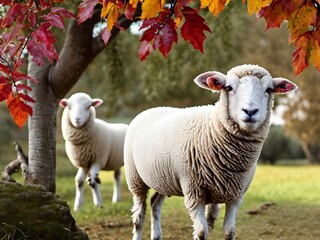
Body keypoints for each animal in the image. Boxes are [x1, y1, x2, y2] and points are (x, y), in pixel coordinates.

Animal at [123, 64, 298, 240]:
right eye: (229, 87)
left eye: (269, 89)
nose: (250, 111)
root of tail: (152, 109)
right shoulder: (194, 192)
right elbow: (201, 232)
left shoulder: (236, 195)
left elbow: (229, 232)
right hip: (136, 179)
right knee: (139, 216)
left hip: (163, 180)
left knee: (155, 203)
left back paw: (157, 235)